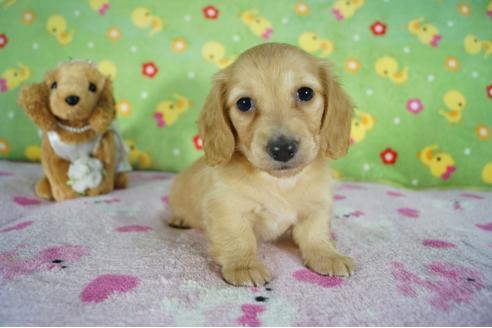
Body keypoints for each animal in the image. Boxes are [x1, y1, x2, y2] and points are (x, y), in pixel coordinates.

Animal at [169, 43, 354, 288]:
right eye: (244, 103)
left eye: (305, 93)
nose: (283, 149)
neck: (280, 183)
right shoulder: (228, 208)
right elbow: (238, 238)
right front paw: (244, 265)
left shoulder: (317, 206)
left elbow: (316, 233)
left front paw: (328, 255)